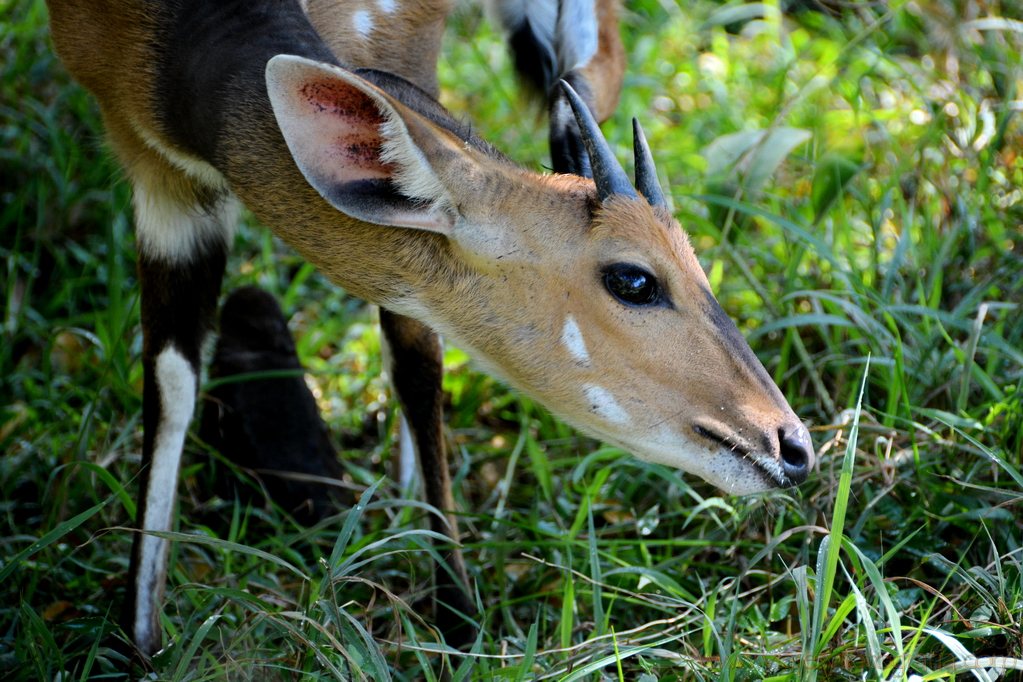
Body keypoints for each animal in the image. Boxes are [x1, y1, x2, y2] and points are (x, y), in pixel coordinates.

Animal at [46, 0, 814, 658]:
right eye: (633, 279)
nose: (793, 446)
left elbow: (416, 357)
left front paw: (456, 614)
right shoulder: (149, 161)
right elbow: (170, 380)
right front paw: (138, 637)